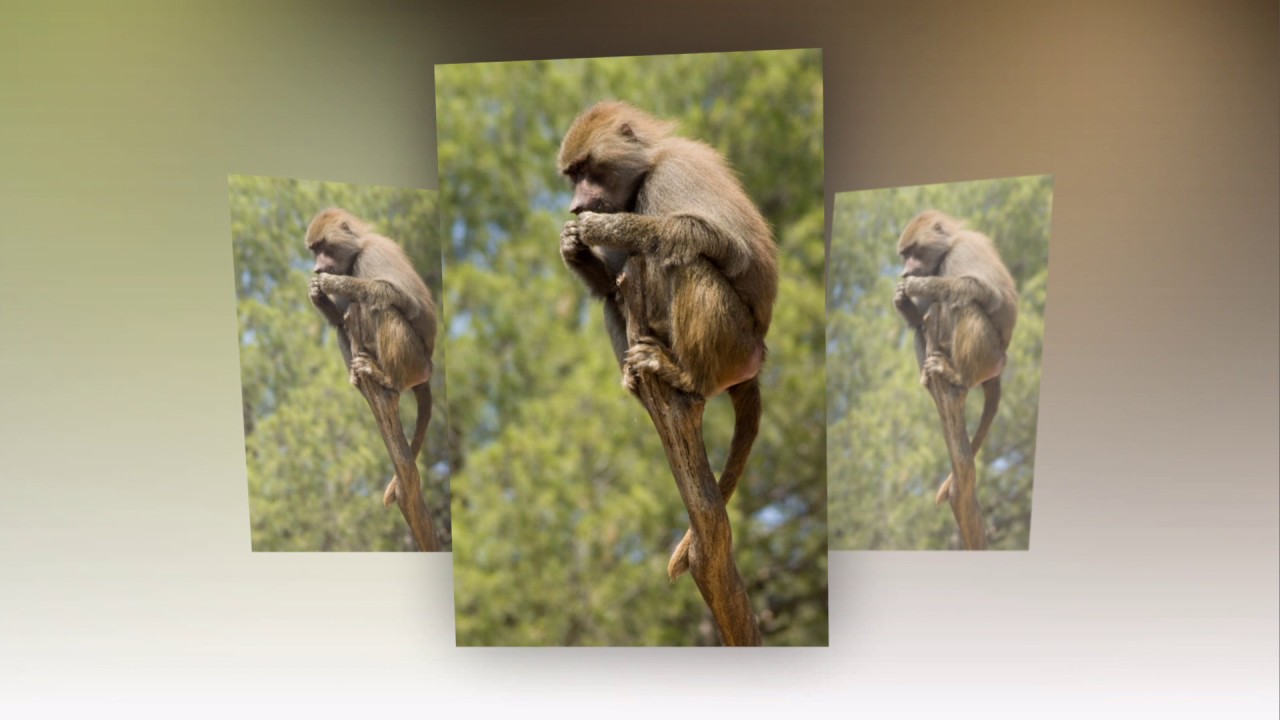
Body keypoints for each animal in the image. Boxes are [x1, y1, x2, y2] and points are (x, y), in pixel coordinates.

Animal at [305, 208, 437, 508]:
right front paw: (317, 294)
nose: (317, 269)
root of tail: (428, 368)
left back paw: (387, 378)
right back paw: (358, 376)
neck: (356, 252)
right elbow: (339, 319)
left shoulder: (374, 256)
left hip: (415, 359)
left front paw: (335, 283)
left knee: (383, 308)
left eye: (324, 247)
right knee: (344, 325)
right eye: (314, 250)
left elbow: (409, 303)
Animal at [557, 101, 778, 581]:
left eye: (588, 169)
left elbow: (732, 248)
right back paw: (639, 381)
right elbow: (609, 288)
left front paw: (612, 229)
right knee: (614, 299)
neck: (645, 170)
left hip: (734, 341)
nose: (576, 207)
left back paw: (685, 377)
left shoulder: (674, 174)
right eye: (572, 173)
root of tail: (758, 358)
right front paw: (573, 245)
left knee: (689, 261)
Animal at [893, 209, 1017, 505]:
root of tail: (1000, 364)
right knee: (921, 328)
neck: (946, 250)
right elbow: (919, 320)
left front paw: (921, 285)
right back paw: (929, 380)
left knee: (964, 305)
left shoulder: (963, 252)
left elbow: (988, 293)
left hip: (988, 354)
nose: (905, 273)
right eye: (904, 254)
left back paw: (957, 375)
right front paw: (901, 298)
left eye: (913, 251)